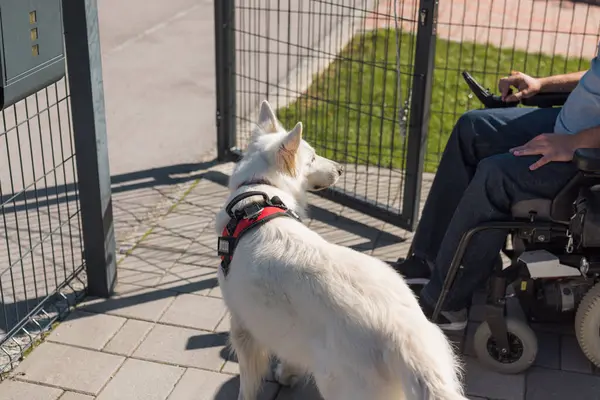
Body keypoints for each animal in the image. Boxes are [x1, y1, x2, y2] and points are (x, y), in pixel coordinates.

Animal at [213, 101, 466, 400]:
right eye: (312, 158)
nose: (341, 169)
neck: (257, 195)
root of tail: (400, 329)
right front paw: (288, 374)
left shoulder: (242, 326)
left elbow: (248, 383)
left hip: (338, 385)